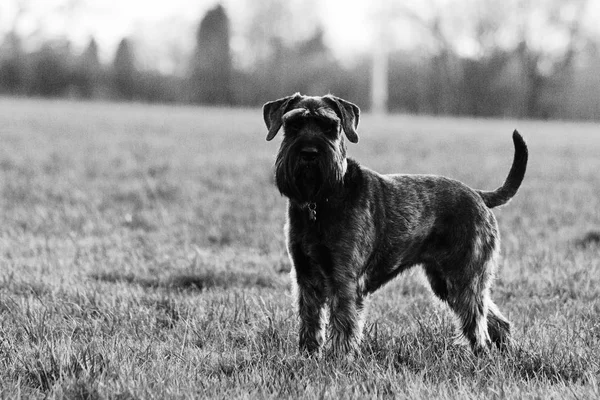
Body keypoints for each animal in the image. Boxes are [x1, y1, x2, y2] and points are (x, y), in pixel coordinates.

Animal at [262, 94, 528, 356]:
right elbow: (310, 319)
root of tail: (478, 195)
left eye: (330, 126)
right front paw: (308, 356)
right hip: (447, 281)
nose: (309, 152)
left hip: (463, 277)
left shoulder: (344, 277)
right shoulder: (306, 276)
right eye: (293, 124)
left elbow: (343, 323)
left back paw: (481, 354)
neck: (320, 202)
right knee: (495, 320)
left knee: (477, 323)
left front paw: (338, 359)